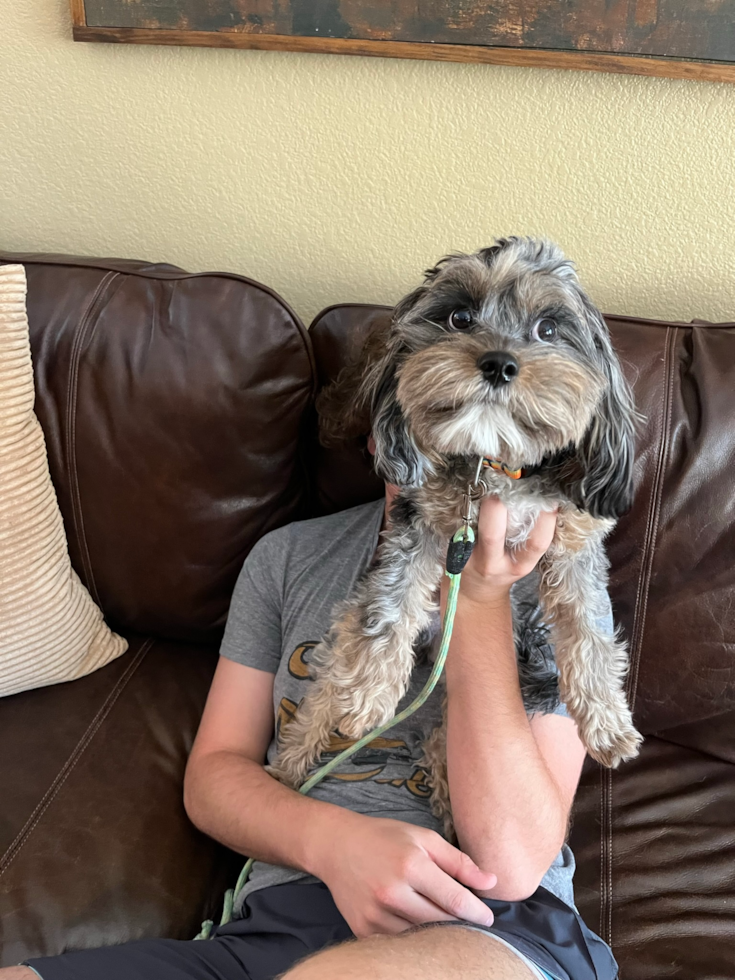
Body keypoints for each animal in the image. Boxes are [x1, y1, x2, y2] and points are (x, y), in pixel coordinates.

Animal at [270, 237, 644, 828]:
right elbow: (392, 606)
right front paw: (371, 693)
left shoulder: (574, 545)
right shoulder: (419, 523)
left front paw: (608, 722)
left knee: (442, 738)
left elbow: (590, 632)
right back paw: (292, 764)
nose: (499, 363)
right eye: (460, 317)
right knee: (323, 695)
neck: (492, 464)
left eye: (548, 329)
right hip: (345, 638)